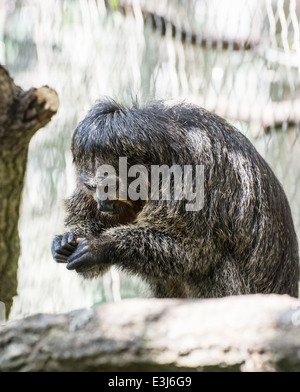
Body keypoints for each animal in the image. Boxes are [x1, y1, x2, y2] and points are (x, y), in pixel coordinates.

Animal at [50, 98, 298, 298]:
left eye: (109, 186)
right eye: (91, 187)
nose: (101, 203)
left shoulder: (193, 174)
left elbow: (193, 252)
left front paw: (102, 247)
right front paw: (67, 240)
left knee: (217, 261)